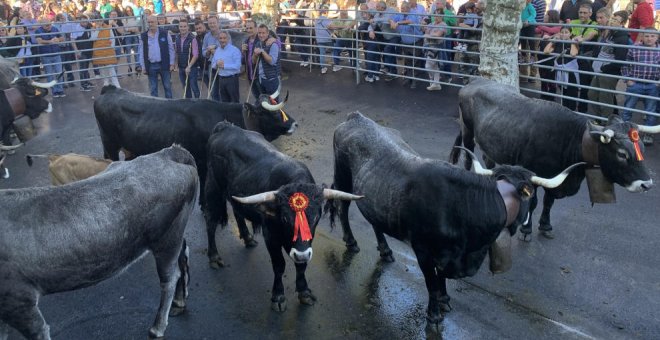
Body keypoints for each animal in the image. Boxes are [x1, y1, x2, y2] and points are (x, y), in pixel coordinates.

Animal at [0, 146, 199, 340]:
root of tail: (169, 152)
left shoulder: (18, 301)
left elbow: (39, 330)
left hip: (166, 239)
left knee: (170, 278)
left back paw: (157, 328)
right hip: (175, 234)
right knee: (183, 256)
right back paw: (180, 301)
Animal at [93, 85, 296, 210]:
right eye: (273, 114)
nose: (294, 124)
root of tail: (110, 89)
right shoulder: (202, 159)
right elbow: (204, 180)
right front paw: (204, 203)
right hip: (110, 143)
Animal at [205, 122, 364, 310]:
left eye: (315, 218)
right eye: (286, 219)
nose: (301, 254)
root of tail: (224, 126)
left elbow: (301, 266)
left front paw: (304, 291)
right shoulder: (270, 236)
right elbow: (279, 265)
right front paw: (278, 296)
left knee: (238, 212)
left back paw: (247, 238)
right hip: (213, 188)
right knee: (210, 221)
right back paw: (214, 257)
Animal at [326, 113, 584, 328]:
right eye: (530, 198)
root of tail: (356, 117)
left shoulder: (446, 256)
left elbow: (441, 279)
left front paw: (444, 299)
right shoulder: (423, 252)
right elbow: (431, 282)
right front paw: (433, 315)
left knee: (374, 220)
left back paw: (386, 250)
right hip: (343, 176)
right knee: (343, 206)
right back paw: (351, 242)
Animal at [448, 78, 656, 239]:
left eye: (642, 148)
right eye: (622, 154)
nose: (647, 184)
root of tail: (475, 81)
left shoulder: (555, 178)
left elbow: (549, 202)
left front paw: (545, 226)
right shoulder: (532, 175)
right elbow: (533, 203)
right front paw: (526, 230)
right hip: (467, 132)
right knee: (468, 159)